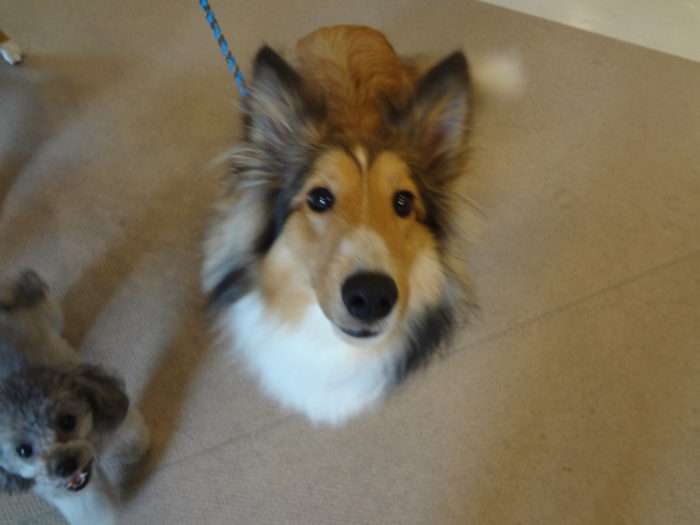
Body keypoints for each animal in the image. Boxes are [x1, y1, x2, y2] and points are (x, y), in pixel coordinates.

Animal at [0, 270, 149, 525]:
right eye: (23, 451)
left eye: (68, 421)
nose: (65, 466)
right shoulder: (73, 495)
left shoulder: (111, 420)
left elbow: (128, 436)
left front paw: (134, 451)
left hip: (46, 312)